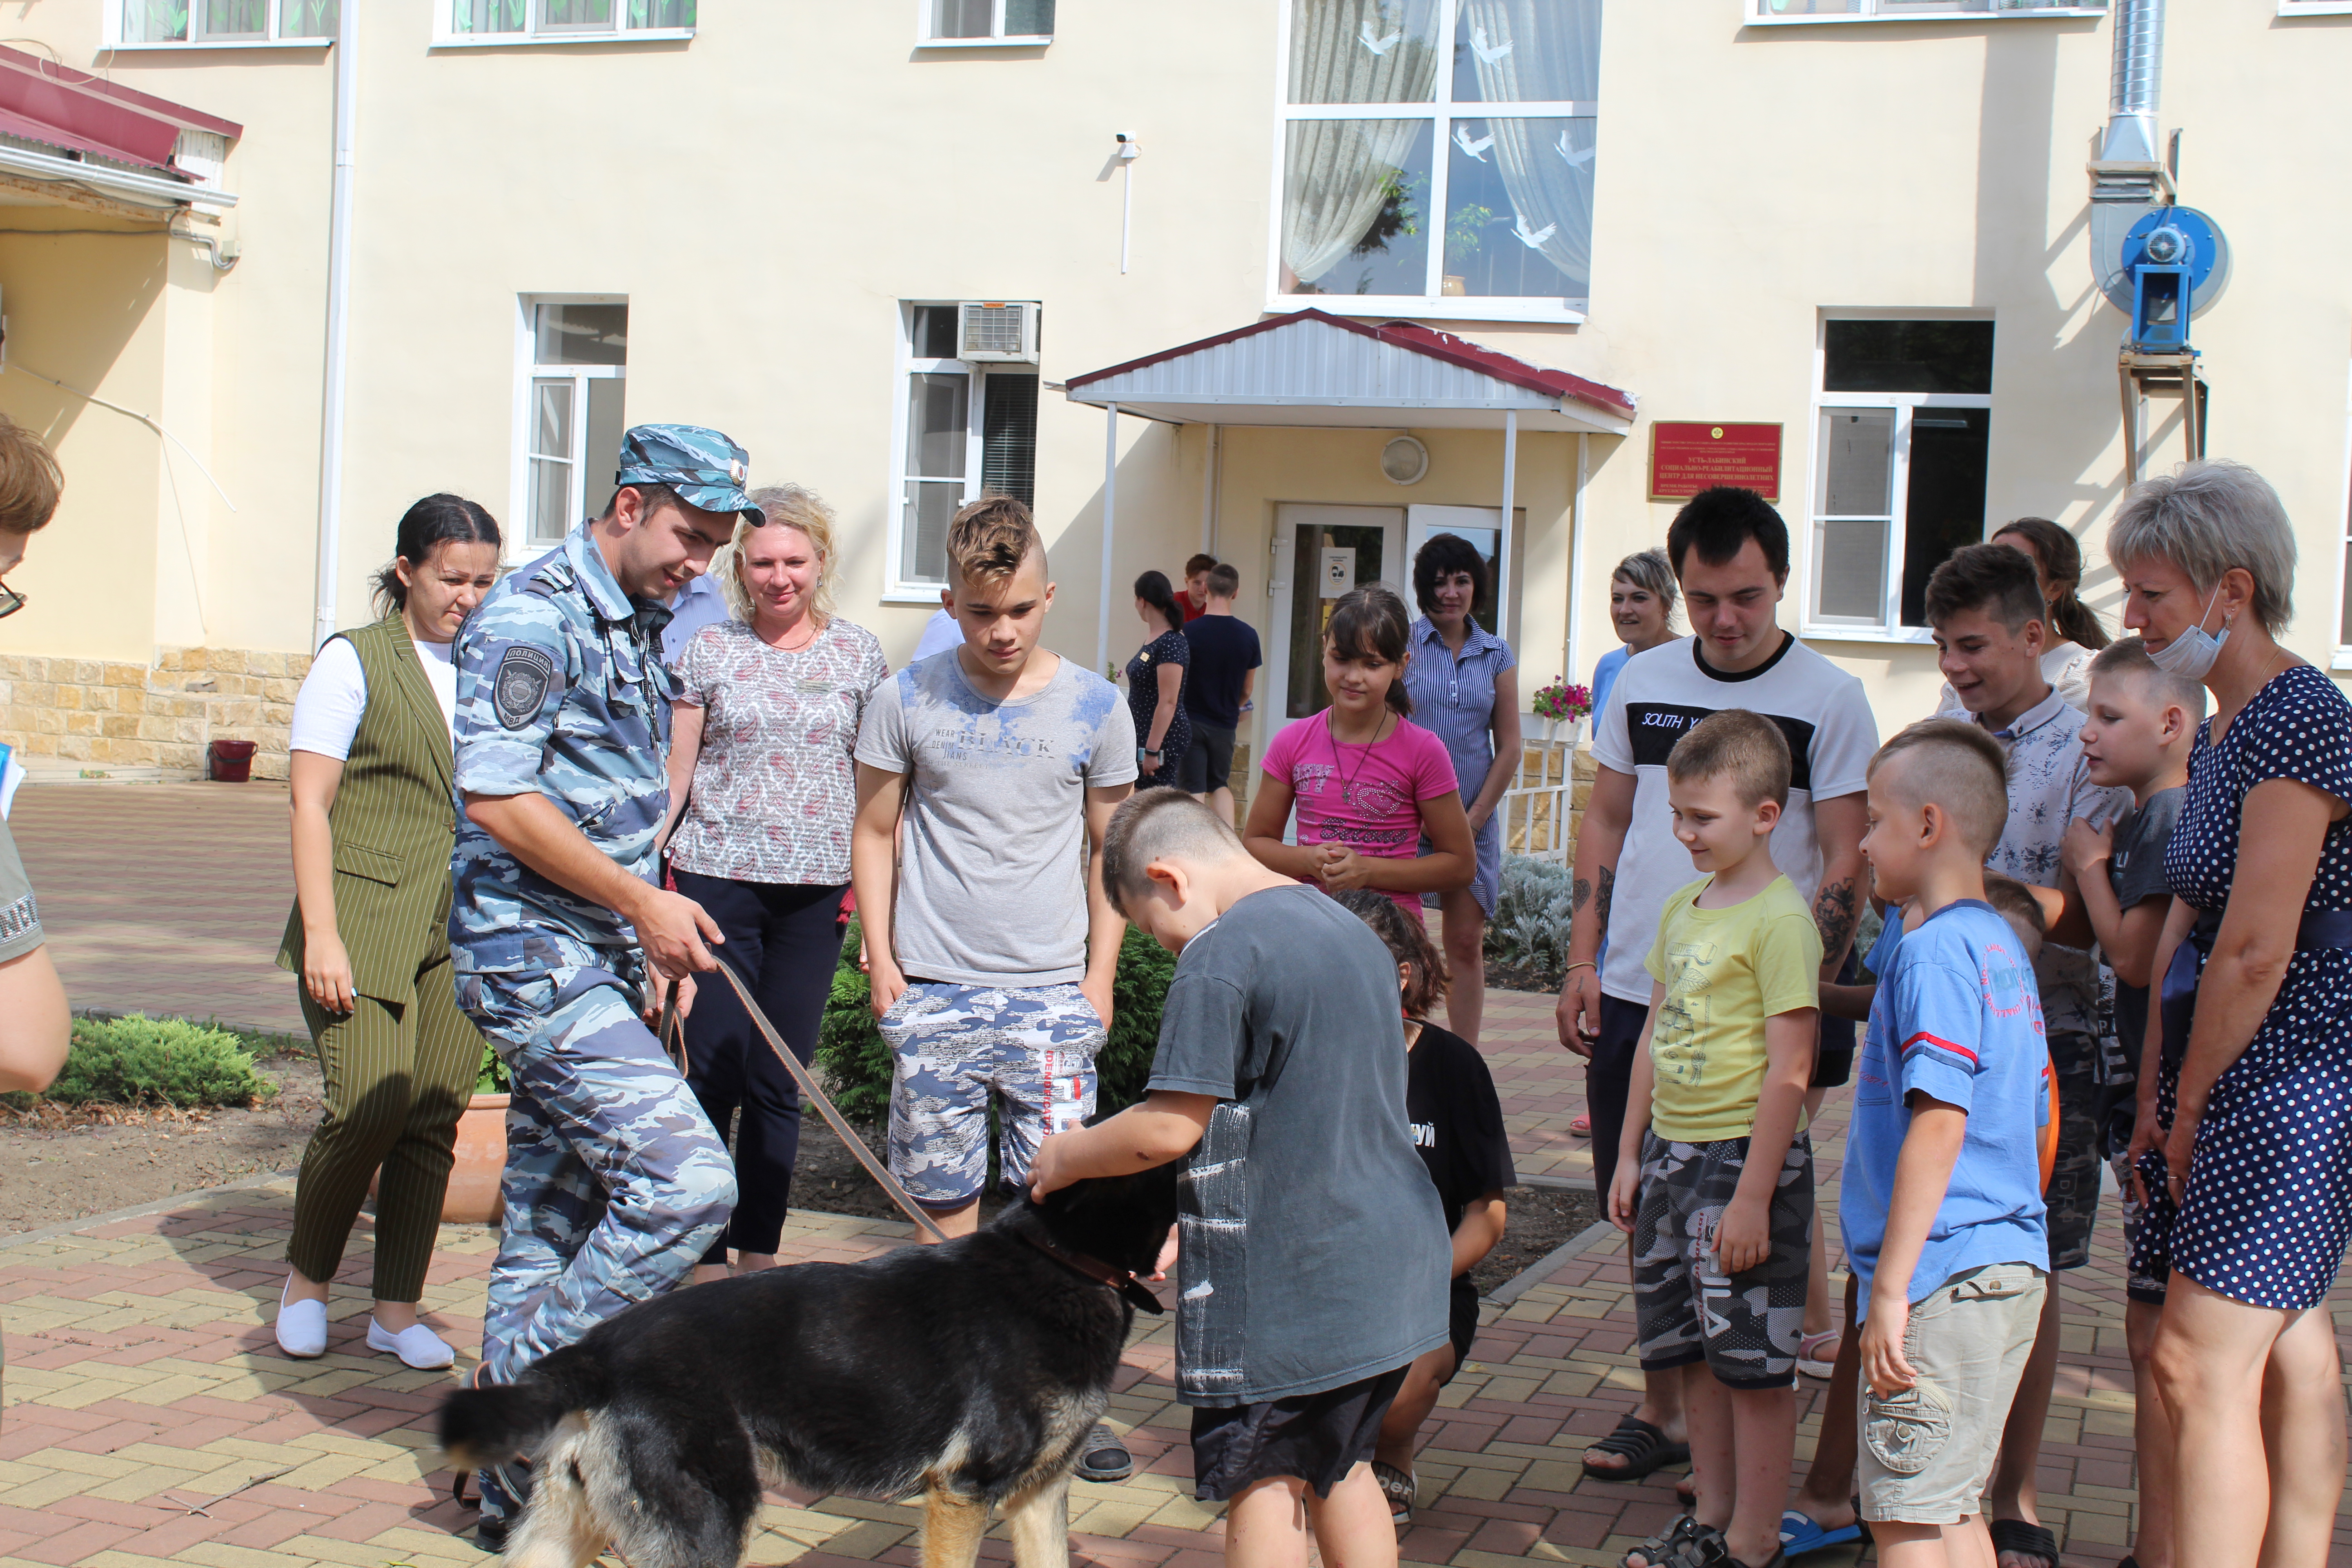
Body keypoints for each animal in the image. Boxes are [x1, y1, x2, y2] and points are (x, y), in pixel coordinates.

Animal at [437, 1166, 1176, 1568]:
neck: (1060, 1259)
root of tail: (593, 1352)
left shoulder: (1038, 1498)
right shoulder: (963, 1494)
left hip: (570, 1529)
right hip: (703, 1529)